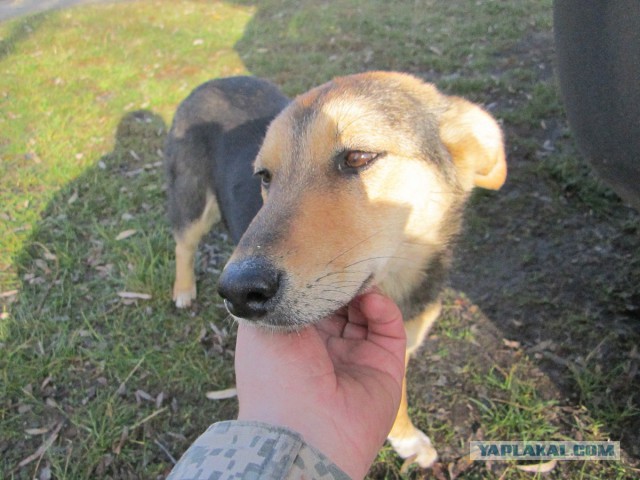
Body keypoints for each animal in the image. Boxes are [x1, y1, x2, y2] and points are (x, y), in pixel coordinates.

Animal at [165, 72, 504, 468]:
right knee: (183, 244)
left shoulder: (403, 347)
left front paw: (405, 437)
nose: (237, 292)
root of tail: (217, 79)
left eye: (358, 157)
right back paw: (183, 289)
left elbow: (397, 396)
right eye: (265, 176)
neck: (398, 284)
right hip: (192, 202)